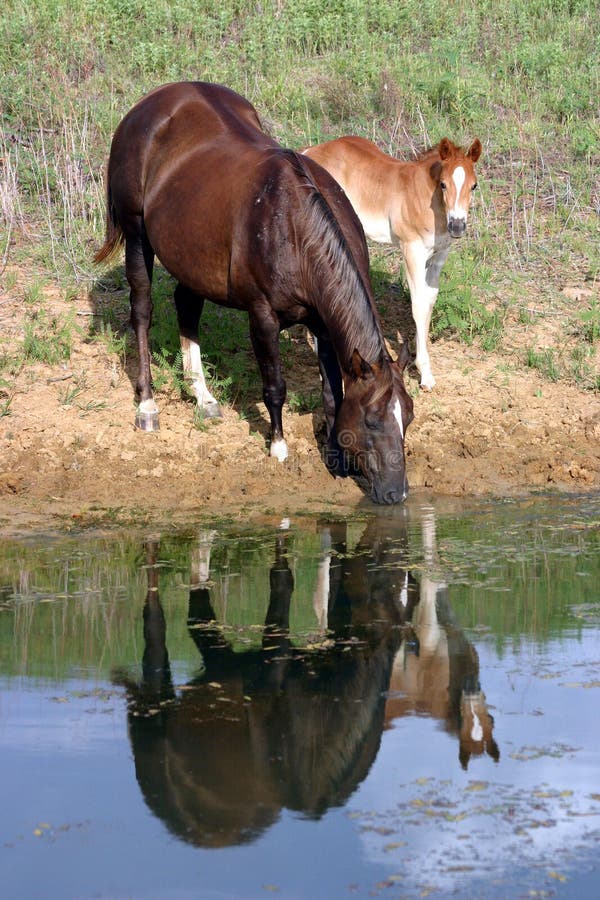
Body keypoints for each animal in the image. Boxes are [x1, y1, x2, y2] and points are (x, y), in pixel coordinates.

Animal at [95, 82, 412, 506]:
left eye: (408, 416)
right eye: (373, 420)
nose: (397, 493)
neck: (296, 229)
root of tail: (149, 103)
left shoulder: (323, 323)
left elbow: (332, 392)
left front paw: (334, 458)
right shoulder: (262, 316)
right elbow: (275, 386)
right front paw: (279, 448)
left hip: (191, 256)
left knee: (186, 307)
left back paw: (203, 397)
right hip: (136, 233)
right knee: (142, 310)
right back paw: (147, 404)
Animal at [302, 135, 480, 388]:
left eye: (474, 185)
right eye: (443, 184)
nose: (457, 226)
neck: (428, 200)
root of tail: (309, 151)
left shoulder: (439, 255)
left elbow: (430, 301)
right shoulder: (412, 250)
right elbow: (418, 305)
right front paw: (424, 373)